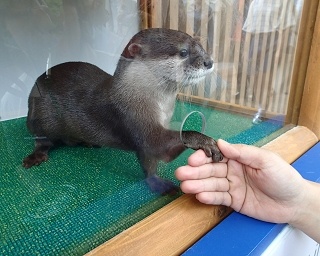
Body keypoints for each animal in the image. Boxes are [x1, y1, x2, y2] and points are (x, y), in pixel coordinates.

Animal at [22, 28, 222, 195]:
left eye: (202, 48)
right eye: (183, 52)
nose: (209, 61)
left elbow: (149, 163)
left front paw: (157, 181)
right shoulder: (134, 118)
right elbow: (157, 145)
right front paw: (204, 141)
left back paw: (87, 142)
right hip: (40, 115)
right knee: (42, 140)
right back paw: (36, 156)